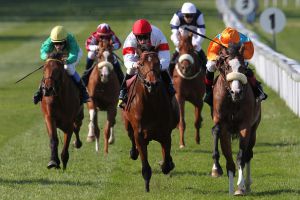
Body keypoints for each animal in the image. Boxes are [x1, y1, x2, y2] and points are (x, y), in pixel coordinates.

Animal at [121, 49, 178, 191]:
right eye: (141, 64)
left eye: (157, 63)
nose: (151, 84)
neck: (150, 106)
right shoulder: (140, 135)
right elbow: (145, 166)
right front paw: (147, 186)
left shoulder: (165, 134)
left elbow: (166, 164)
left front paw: (167, 163)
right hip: (127, 124)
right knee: (131, 137)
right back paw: (133, 152)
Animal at [211, 44, 260, 195]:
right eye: (227, 66)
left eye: (242, 67)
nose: (237, 92)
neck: (232, 101)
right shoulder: (223, 127)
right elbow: (229, 160)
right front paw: (230, 187)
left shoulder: (245, 126)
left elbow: (240, 157)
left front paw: (240, 186)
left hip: (254, 129)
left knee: (248, 154)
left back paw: (247, 184)